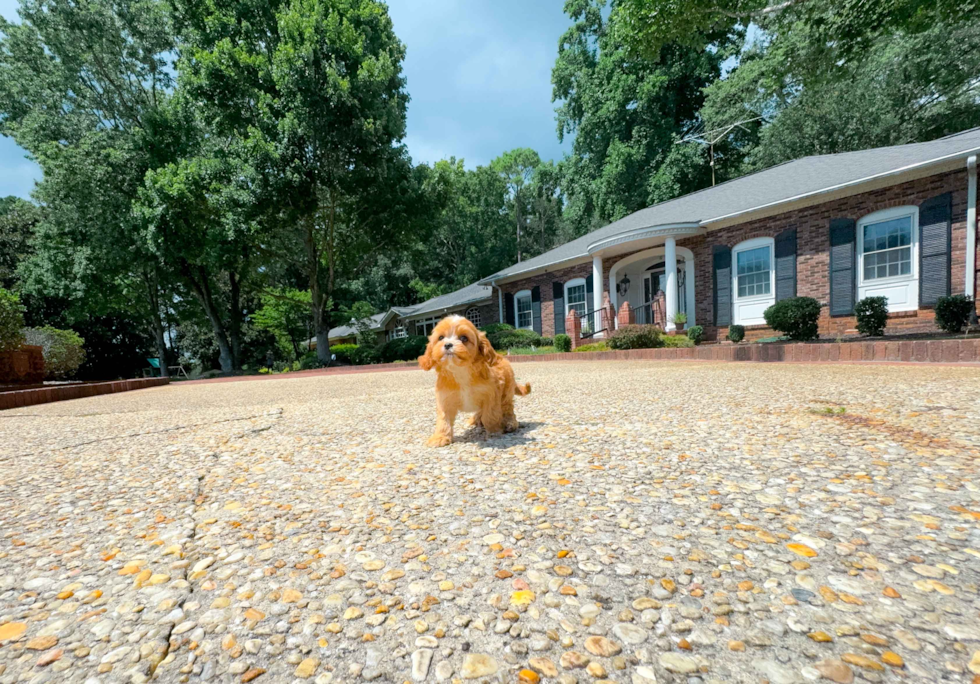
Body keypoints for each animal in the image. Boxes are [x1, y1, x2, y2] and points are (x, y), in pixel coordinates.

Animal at [418, 316, 532, 448]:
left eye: (464, 338)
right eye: (440, 338)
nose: (447, 345)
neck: (460, 371)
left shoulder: (491, 396)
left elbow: (490, 415)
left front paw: (494, 431)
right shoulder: (444, 399)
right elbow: (443, 419)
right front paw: (440, 437)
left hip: (506, 394)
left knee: (508, 409)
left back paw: (510, 424)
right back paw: (475, 419)